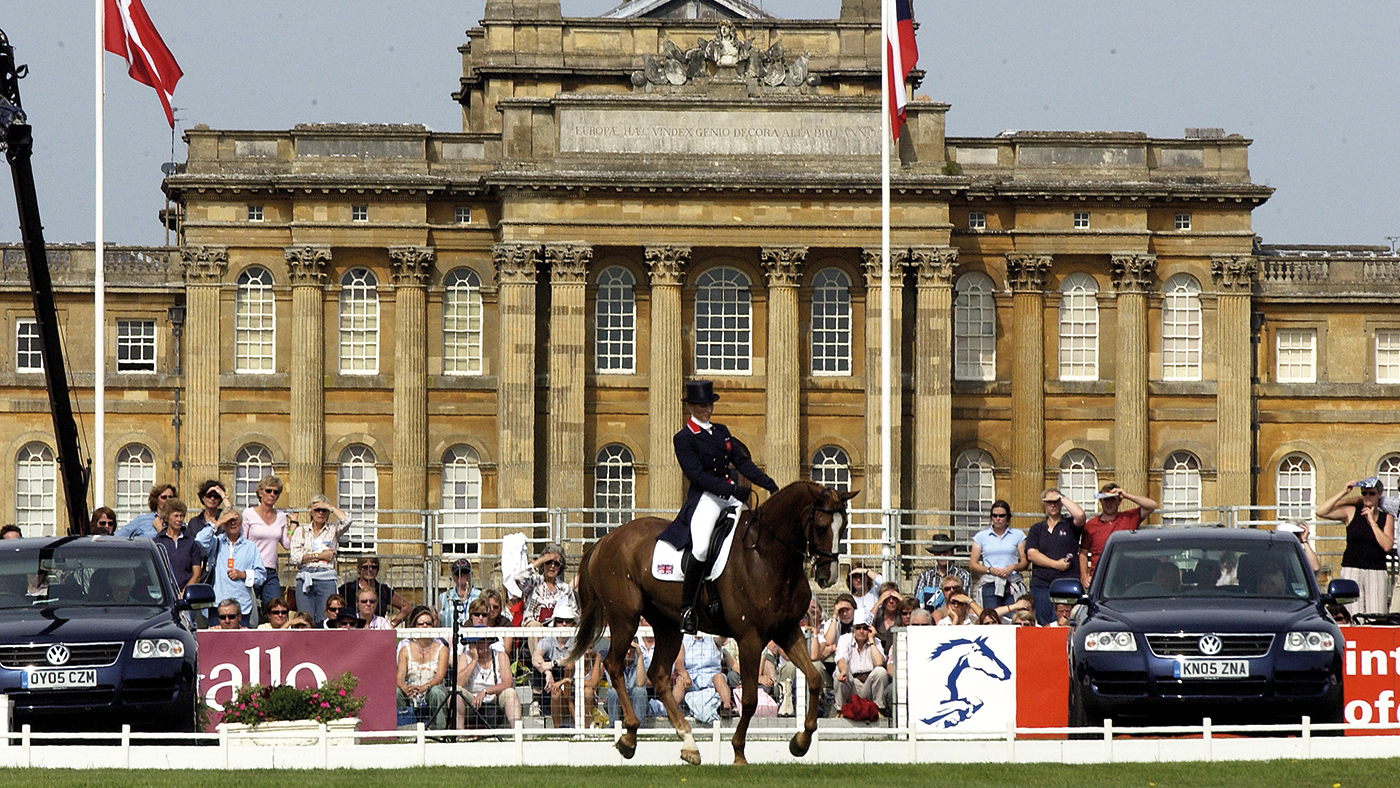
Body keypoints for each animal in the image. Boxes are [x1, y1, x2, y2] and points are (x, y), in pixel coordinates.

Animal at [565, 481, 851, 767]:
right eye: (822, 527)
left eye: (844, 526)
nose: (828, 577)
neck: (766, 556)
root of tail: (605, 540)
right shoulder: (749, 637)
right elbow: (749, 699)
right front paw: (738, 752)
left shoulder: (787, 631)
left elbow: (814, 679)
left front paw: (801, 742)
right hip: (625, 617)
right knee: (614, 666)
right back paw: (629, 737)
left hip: (668, 625)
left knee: (659, 674)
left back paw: (688, 744)